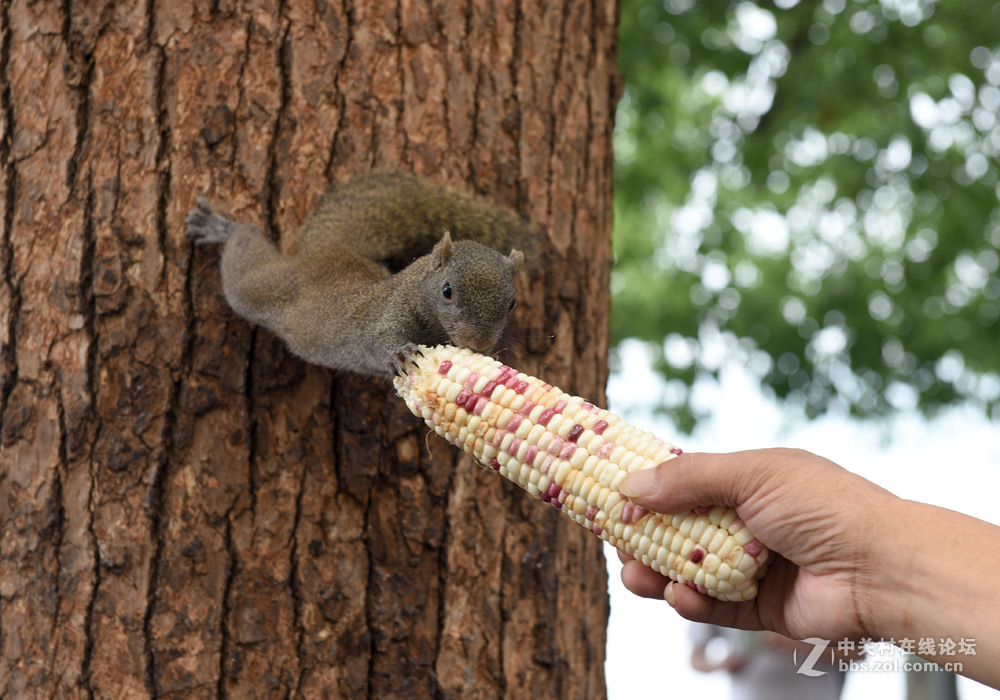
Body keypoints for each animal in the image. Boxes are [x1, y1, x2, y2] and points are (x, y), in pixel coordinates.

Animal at [187, 171, 532, 378]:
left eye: (512, 304)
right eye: (447, 291)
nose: (479, 341)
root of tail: (327, 250)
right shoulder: (387, 316)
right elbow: (378, 341)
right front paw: (398, 353)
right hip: (263, 288)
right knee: (243, 258)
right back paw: (220, 227)